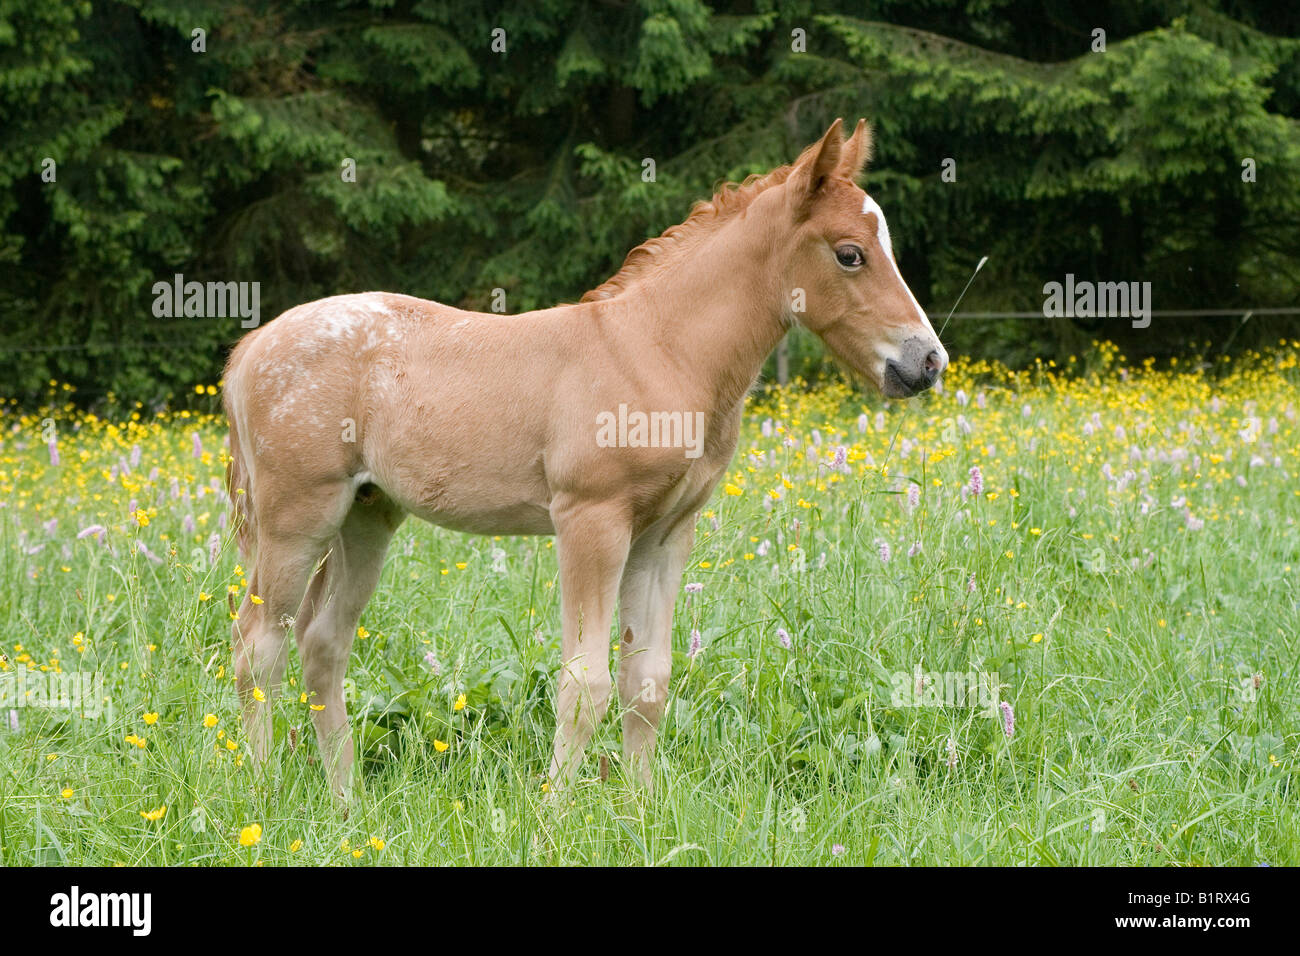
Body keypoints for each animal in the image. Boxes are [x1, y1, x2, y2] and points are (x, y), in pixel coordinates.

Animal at [226, 117, 946, 801]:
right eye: (850, 254)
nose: (926, 362)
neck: (657, 350)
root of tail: (254, 346)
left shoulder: (663, 534)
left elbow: (647, 680)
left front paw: (639, 811)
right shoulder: (591, 522)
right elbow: (584, 684)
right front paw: (553, 813)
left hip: (366, 516)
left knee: (322, 644)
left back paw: (346, 801)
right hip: (298, 518)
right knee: (257, 646)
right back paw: (262, 793)